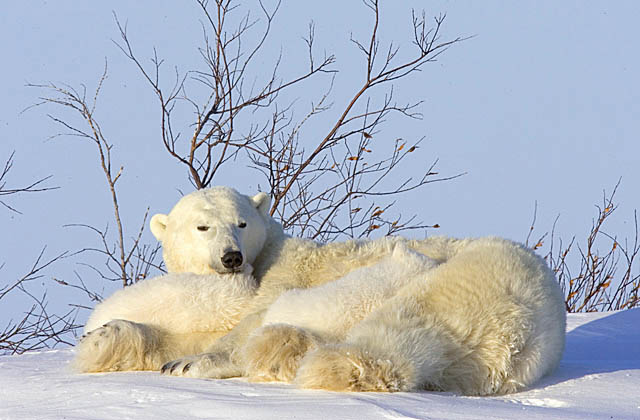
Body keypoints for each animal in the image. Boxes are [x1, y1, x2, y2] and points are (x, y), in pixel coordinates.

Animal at [76, 185, 564, 396]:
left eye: (241, 222)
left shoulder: (283, 273)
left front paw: (188, 363)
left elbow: (242, 324)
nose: (231, 257)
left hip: (472, 275)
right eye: (202, 226)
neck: (264, 253)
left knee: (395, 332)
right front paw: (105, 339)